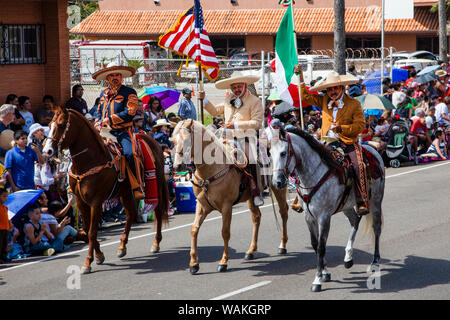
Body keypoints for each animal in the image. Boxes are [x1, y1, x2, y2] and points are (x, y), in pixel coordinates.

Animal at [43, 106, 170, 274]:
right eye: (49, 125)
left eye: (62, 125)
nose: (48, 151)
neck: (90, 160)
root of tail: (151, 139)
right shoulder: (82, 202)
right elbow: (87, 229)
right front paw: (99, 256)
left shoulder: (96, 202)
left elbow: (91, 232)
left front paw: (88, 263)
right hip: (125, 193)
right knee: (131, 215)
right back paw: (122, 247)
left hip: (155, 185)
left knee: (157, 211)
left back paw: (155, 244)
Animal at [171, 119, 290, 274]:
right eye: (173, 141)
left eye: (186, 140)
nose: (177, 166)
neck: (211, 169)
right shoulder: (201, 205)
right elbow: (194, 229)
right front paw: (193, 264)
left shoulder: (226, 207)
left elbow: (225, 232)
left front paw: (223, 262)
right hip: (252, 196)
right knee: (256, 217)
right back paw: (251, 251)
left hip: (278, 186)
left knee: (283, 212)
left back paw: (282, 245)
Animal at [268, 127, 384, 292]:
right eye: (270, 153)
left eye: (283, 153)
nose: (277, 182)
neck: (313, 174)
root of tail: (373, 150)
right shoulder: (309, 217)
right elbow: (315, 244)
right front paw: (325, 273)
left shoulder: (324, 217)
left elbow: (322, 247)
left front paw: (317, 280)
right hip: (346, 205)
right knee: (355, 220)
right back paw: (348, 257)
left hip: (376, 201)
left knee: (376, 227)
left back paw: (375, 260)